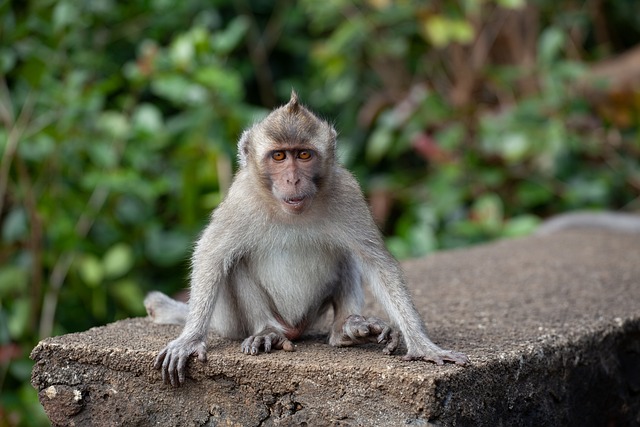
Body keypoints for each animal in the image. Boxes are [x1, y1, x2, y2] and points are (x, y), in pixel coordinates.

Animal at [144, 90, 464, 388]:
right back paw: (267, 331)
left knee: (346, 254)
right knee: (235, 263)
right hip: (232, 322)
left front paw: (422, 345)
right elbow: (212, 254)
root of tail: (294, 330)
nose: (293, 180)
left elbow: (377, 262)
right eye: (279, 156)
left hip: (311, 314)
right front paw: (190, 339)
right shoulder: (241, 198)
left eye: (304, 155)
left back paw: (346, 328)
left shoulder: (347, 192)